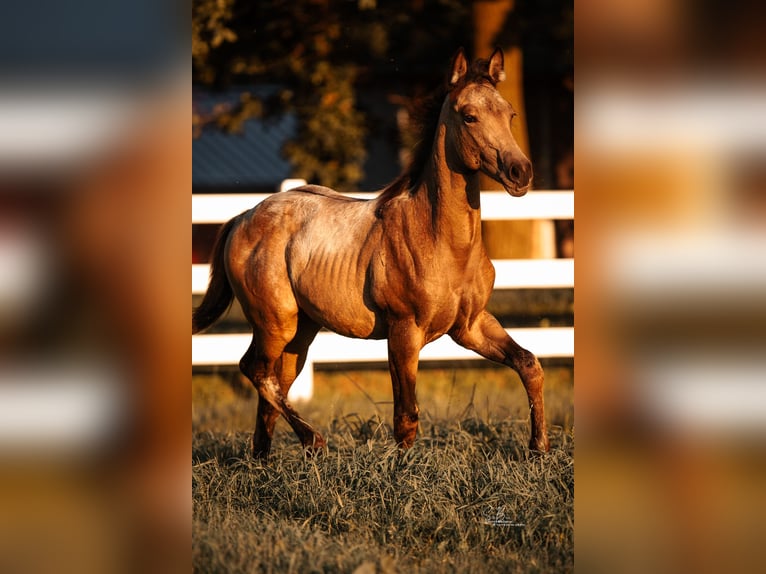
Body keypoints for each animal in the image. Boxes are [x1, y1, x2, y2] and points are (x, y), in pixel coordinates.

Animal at [192, 48, 550, 458]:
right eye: (469, 115)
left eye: (510, 114)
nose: (520, 172)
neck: (443, 243)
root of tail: (243, 217)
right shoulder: (404, 331)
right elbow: (406, 415)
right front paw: (404, 470)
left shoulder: (471, 325)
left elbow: (528, 363)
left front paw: (539, 449)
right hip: (273, 323)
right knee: (255, 370)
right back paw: (313, 440)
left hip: (300, 332)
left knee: (273, 385)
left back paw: (265, 462)